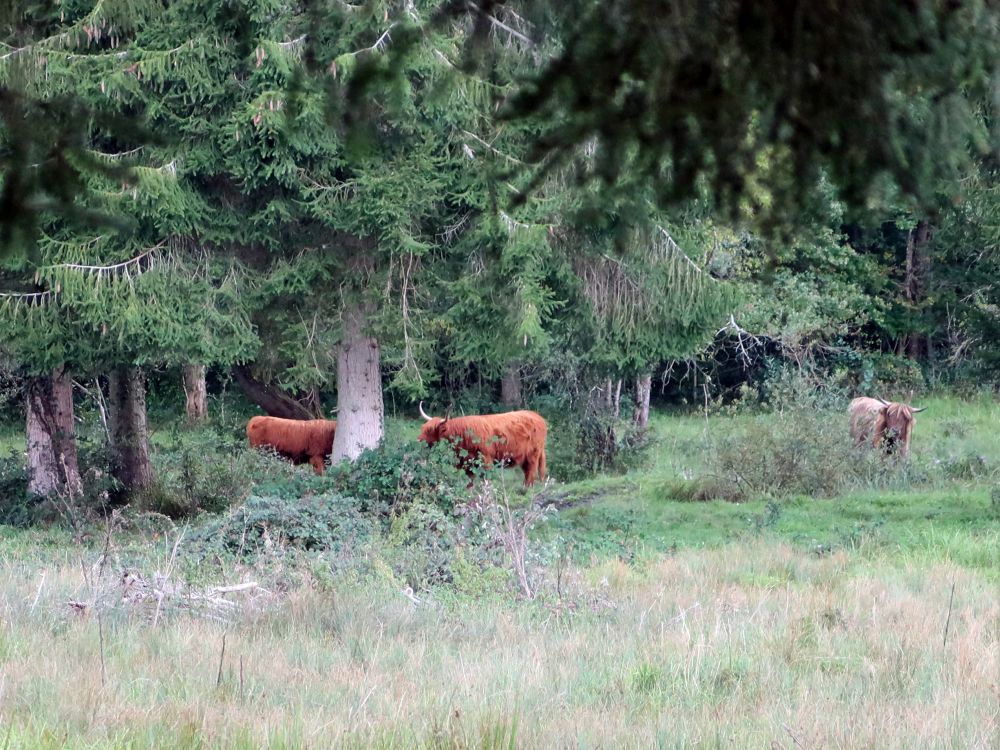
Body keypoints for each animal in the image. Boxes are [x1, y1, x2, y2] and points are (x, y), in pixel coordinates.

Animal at [418, 402, 552, 490]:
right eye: (423, 428)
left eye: (430, 430)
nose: (419, 440)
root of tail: (538, 417)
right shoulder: (467, 461)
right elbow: (470, 478)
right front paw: (469, 490)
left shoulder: (486, 458)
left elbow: (485, 477)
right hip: (525, 457)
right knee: (528, 471)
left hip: (533, 453)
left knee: (531, 470)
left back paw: (526, 489)